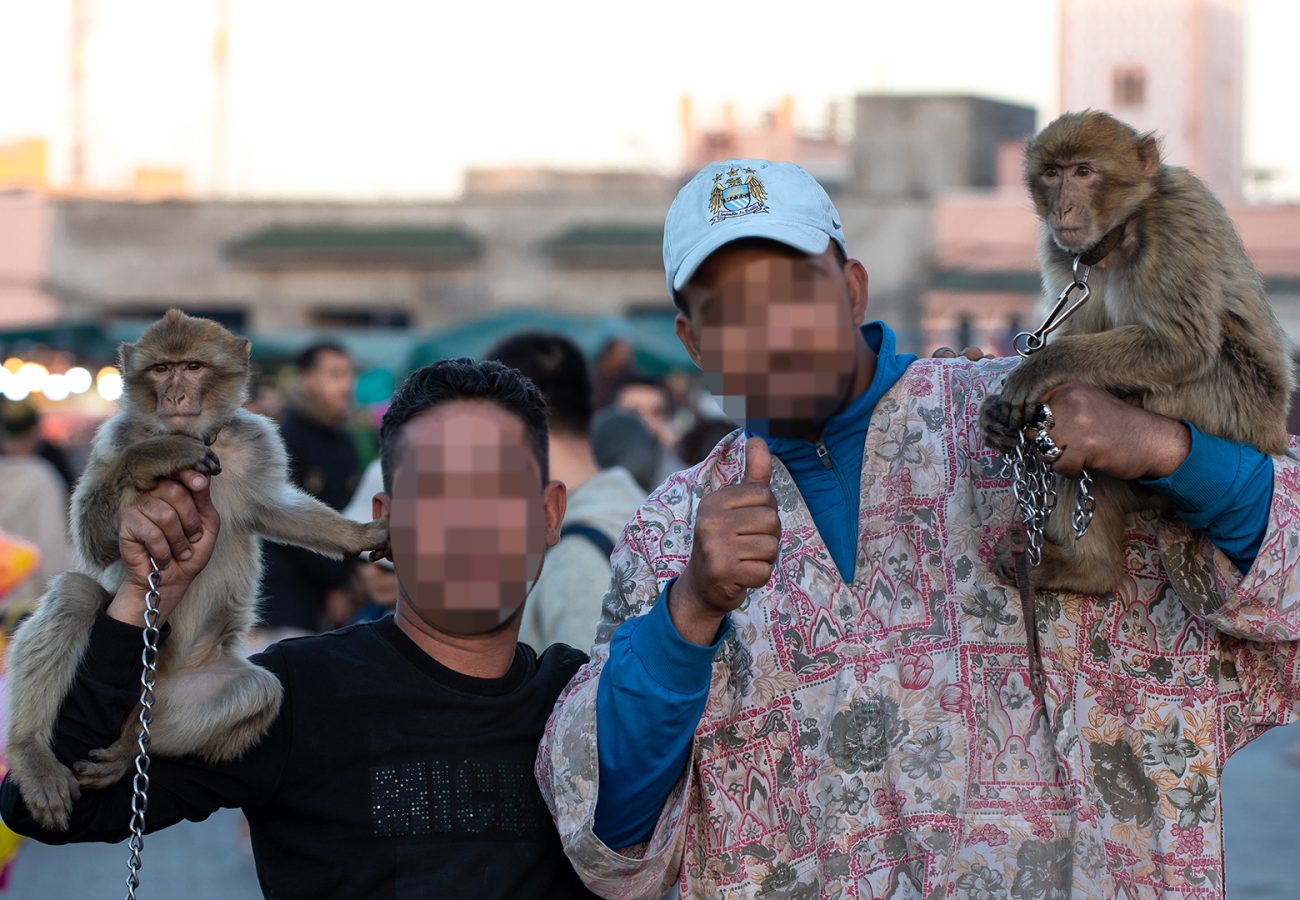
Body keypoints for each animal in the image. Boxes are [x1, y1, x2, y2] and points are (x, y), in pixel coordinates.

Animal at [6, 309, 390, 827]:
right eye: (161, 370)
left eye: (191, 366)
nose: (175, 396)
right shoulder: (114, 438)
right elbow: (91, 536)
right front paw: (157, 456)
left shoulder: (257, 442)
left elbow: (274, 510)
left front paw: (358, 534)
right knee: (75, 595)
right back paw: (31, 752)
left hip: (176, 696)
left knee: (259, 690)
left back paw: (126, 748)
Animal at [982, 110, 1289, 598]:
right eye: (1052, 173)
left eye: (1083, 172)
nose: (1062, 209)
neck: (1119, 233)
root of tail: (1275, 435)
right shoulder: (1062, 252)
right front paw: (994, 415)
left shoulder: (1174, 222)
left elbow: (1183, 344)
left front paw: (1039, 368)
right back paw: (1088, 568)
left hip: (1240, 410)